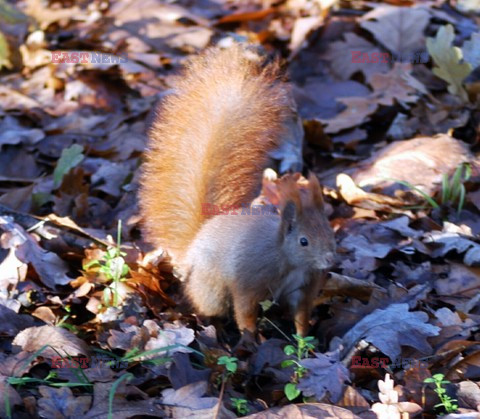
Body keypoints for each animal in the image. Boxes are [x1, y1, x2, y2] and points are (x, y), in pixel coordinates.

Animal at [139, 43, 334, 338]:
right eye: (303, 241)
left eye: (330, 231)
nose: (329, 260)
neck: (289, 261)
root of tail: (194, 245)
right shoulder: (249, 279)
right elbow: (245, 311)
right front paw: (251, 337)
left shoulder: (303, 288)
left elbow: (301, 316)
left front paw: (304, 340)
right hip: (212, 288)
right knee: (210, 306)